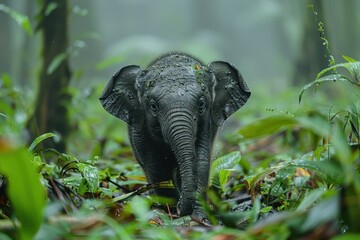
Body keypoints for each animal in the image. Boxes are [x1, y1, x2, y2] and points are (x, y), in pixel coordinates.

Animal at [98, 52, 250, 221]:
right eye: (153, 106)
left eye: (201, 104)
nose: (179, 208)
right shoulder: (140, 130)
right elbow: (156, 167)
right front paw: (171, 210)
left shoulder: (208, 125)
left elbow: (201, 163)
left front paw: (198, 217)